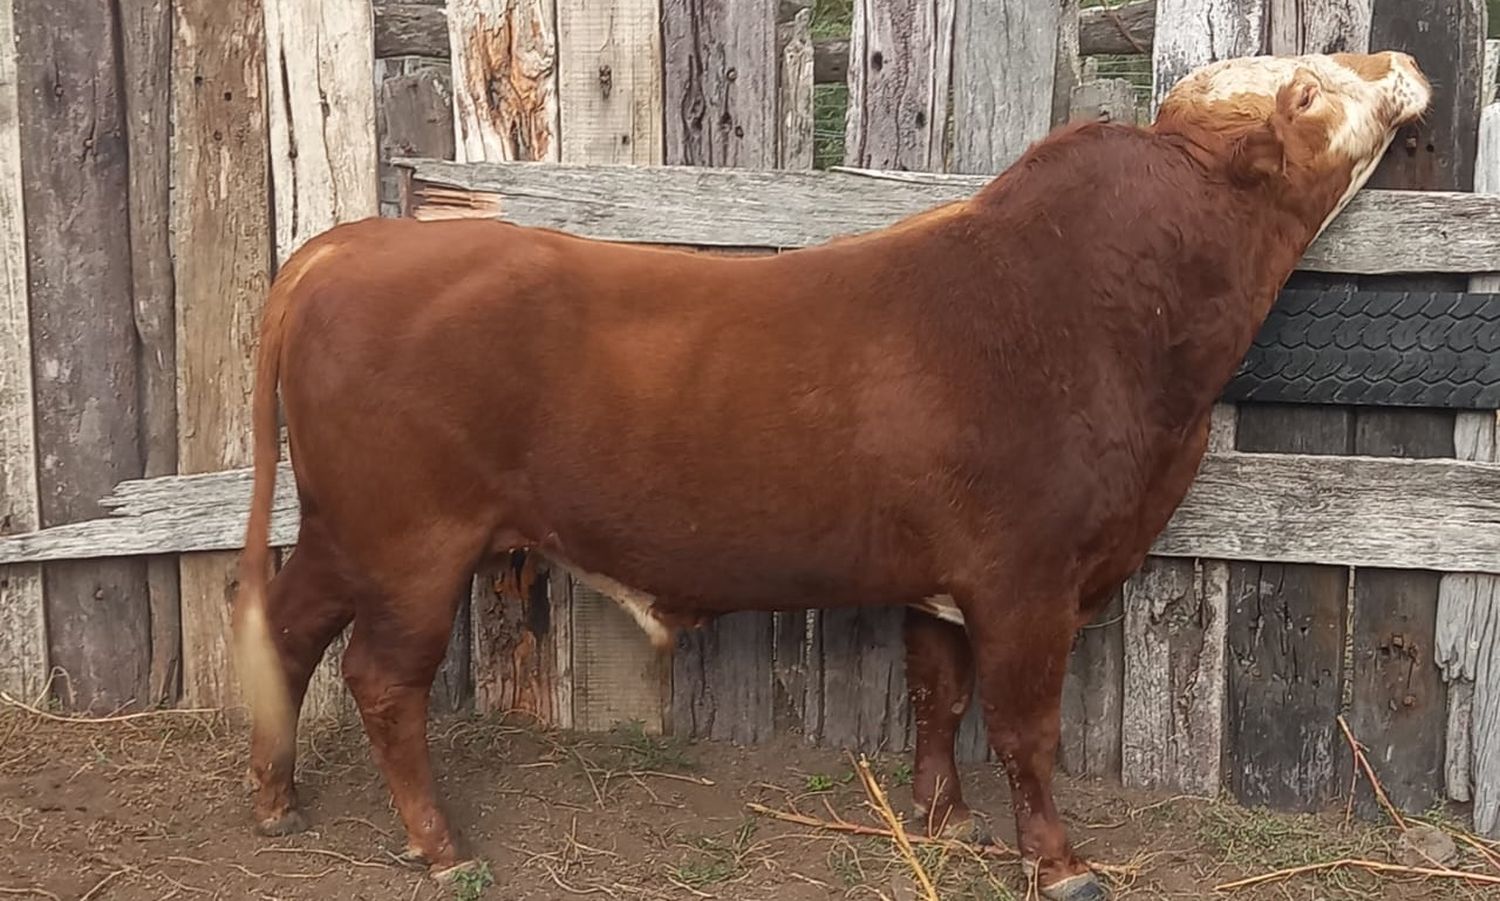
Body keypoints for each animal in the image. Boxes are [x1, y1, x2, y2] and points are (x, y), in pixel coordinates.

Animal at [231, 50, 1428, 899]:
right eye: (1310, 91)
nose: (1399, 58)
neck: (1105, 308)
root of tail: (345, 247)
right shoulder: (1028, 579)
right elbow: (1025, 727)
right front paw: (1060, 863)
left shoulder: (946, 580)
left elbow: (939, 695)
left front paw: (944, 821)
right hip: (411, 543)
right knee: (381, 679)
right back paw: (440, 847)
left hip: (347, 528)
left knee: (284, 625)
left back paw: (275, 794)